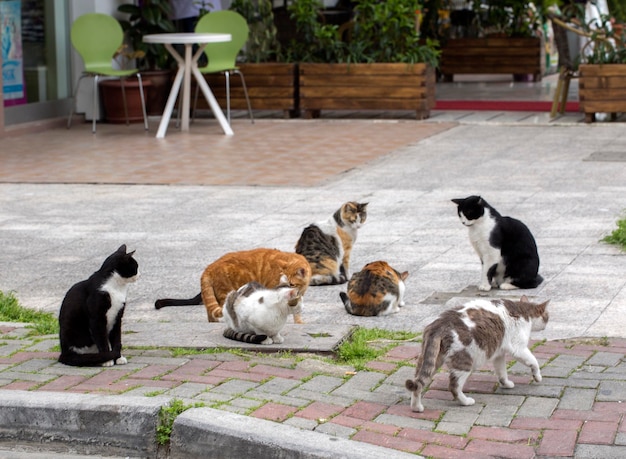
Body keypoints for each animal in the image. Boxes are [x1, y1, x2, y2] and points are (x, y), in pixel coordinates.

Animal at [155, 248, 310, 328]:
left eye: (292, 284)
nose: (290, 288)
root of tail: (209, 267)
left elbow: (297, 312)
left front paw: (299, 323)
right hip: (225, 294)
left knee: (210, 312)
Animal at [404, 296, 544, 416]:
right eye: (546, 316)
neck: (521, 309)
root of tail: (438, 326)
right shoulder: (518, 348)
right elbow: (533, 361)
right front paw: (537, 376)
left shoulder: (499, 354)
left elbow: (502, 372)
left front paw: (506, 384)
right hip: (464, 362)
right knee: (454, 387)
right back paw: (466, 401)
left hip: (430, 360)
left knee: (417, 384)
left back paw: (416, 407)